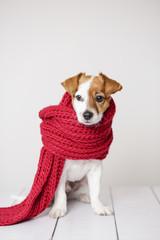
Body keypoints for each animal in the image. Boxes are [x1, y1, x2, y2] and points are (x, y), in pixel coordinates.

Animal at [48, 71, 122, 218]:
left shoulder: (96, 170)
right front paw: (59, 208)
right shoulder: (60, 171)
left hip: (83, 182)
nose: (87, 115)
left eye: (99, 98)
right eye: (78, 97)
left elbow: (96, 191)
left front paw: (98, 207)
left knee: (74, 194)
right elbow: (60, 194)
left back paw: (84, 196)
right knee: (64, 194)